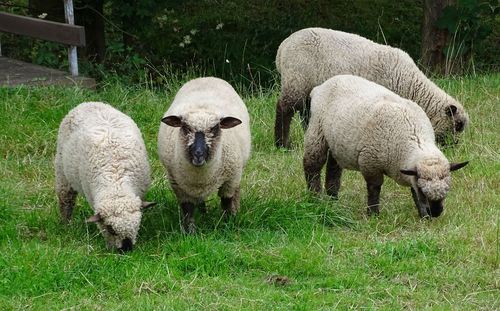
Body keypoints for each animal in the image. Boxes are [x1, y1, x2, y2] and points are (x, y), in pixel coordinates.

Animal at [54, 102, 154, 254]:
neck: (116, 184)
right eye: (110, 228)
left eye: (137, 225)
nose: (126, 249)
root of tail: (88, 103)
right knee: (66, 200)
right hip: (61, 171)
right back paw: (66, 225)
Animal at [157, 77, 250, 234]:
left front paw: (228, 224)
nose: (198, 154)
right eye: (186, 127)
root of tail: (206, 77)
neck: (201, 175)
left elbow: (226, 202)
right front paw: (190, 232)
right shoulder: (178, 186)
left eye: (215, 128)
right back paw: (203, 212)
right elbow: (188, 209)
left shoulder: (230, 179)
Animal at [274, 27, 468, 149]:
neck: (410, 85)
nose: (455, 145)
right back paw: (282, 144)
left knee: (306, 112)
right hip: (297, 79)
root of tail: (282, 47)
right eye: (457, 125)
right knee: (285, 108)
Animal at [302, 75, 470, 218]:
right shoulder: (370, 162)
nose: (435, 213)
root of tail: (321, 86)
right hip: (317, 131)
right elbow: (374, 188)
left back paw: (333, 199)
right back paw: (315, 198)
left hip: (337, 143)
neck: (413, 136)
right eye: (423, 190)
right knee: (312, 165)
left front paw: (423, 215)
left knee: (333, 169)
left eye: (448, 190)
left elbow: (412, 190)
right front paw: (373, 214)